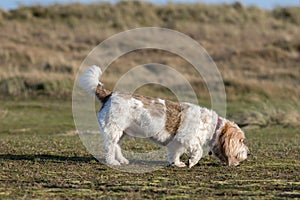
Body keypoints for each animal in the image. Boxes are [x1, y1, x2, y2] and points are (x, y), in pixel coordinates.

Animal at [78, 65, 250, 167]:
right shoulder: (189, 139)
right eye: (241, 140)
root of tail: (110, 94)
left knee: (116, 147)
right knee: (109, 147)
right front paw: (192, 161)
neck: (212, 126)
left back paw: (122, 160)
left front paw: (177, 163)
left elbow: (175, 154)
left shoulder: (177, 143)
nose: (249, 153)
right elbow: (198, 150)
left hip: (122, 133)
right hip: (114, 130)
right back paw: (113, 162)